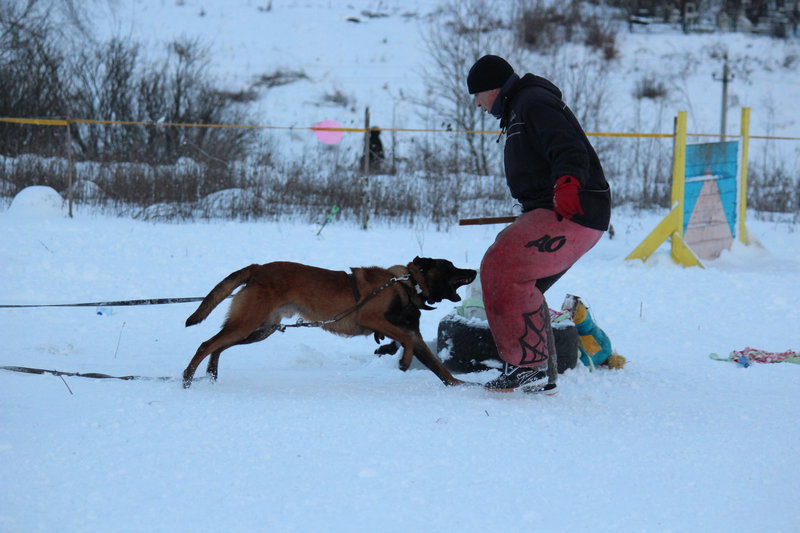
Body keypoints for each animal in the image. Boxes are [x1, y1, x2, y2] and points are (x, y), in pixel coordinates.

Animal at [182, 257, 477, 388]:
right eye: (450, 267)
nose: (474, 270)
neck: (406, 285)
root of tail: (258, 269)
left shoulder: (415, 336)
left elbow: (440, 368)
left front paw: (461, 386)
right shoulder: (372, 318)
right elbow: (405, 341)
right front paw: (403, 361)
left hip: (259, 329)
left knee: (218, 346)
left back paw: (211, 375)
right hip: (248, 324)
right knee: (206, 344)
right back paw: (187, 379)